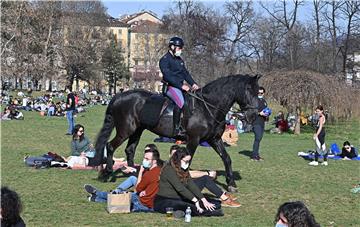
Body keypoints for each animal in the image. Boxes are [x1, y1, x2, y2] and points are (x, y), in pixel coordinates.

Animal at [89, 74, 260, 192]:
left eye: (258, 91)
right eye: (249, 90)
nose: (253, 116)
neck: (207, 108)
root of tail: (118, 96)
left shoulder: (215, 139)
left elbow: (227, 159)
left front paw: (231, 184)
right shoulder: (193, 139)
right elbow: (187, 161)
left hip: (137, 130)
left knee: (129, 150)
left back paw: (137, 173)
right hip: (126, 130)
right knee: (110, 146)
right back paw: (106, 173)